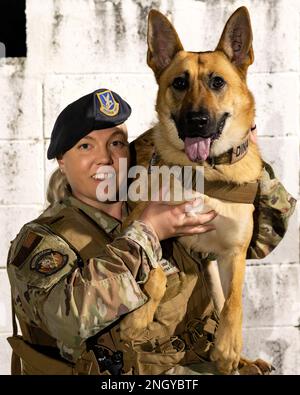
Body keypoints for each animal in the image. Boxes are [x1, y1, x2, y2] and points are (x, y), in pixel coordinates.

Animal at [120, 7, 274, 376]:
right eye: (179, 83)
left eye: (218, 82)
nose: (197, 121)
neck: (206, 170)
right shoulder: (143, 222)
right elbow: (155, 272)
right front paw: (137, 319)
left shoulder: (234, 253)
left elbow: (233, 302)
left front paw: (228, 348)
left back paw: (243, 360)